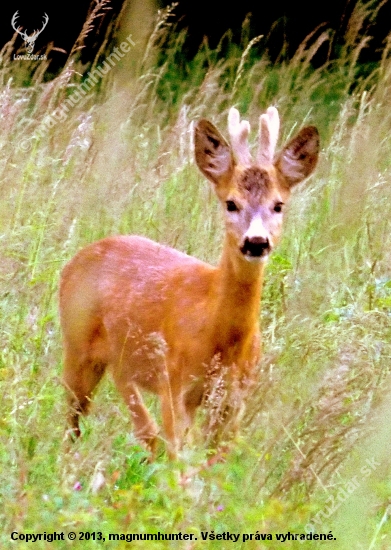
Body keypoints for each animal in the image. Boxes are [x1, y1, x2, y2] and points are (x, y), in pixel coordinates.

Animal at [59, 105, 320, 460]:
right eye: (231, 203)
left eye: (278, 205)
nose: (256, 242)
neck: (222, 339)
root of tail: (77, 258)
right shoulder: (176, 383)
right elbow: (180, 461)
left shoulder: (235, 399)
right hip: (77, 344)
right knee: (74, 418)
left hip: (119, 359)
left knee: (137, 421)